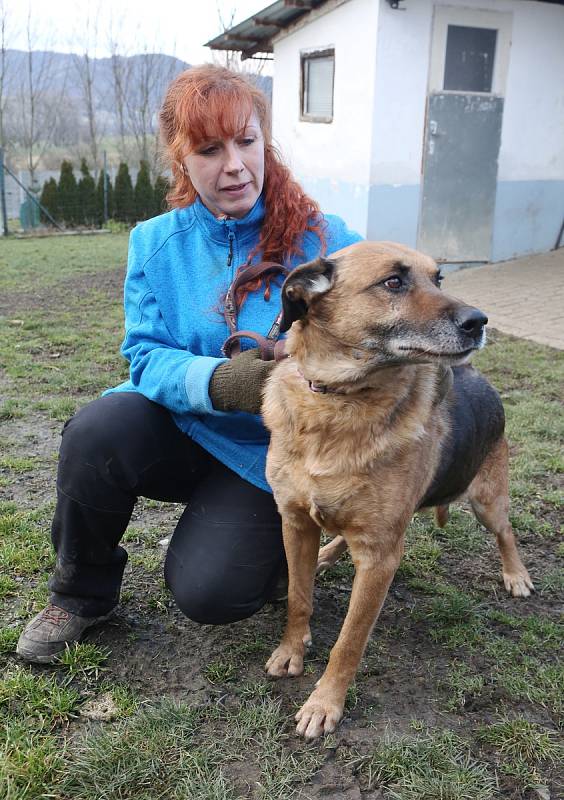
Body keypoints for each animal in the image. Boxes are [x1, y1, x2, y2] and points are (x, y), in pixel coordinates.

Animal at [262, 241, 532, 740]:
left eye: (439, 278)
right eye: (393, 282)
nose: (480, 321)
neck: (339, 400)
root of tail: (478, 376)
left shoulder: (380, 557)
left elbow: (349, 641)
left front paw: (325, 703)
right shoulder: (295, 523)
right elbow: (297, 598)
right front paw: (292, 651)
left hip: (485, 500)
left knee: (505, 531)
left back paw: (516, 574)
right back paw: (330, 553)